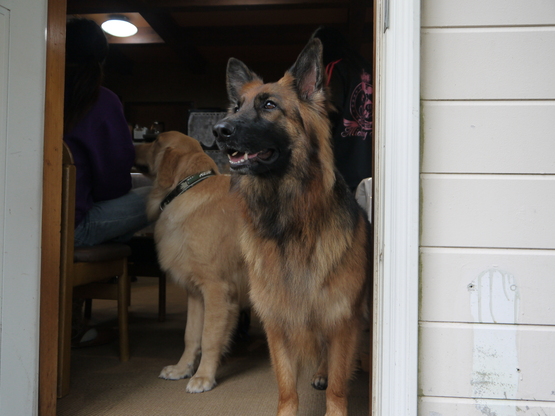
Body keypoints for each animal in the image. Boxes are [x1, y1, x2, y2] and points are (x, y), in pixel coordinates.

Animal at [135, 132, 248, 394]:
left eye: (155, 141)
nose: (132, 147)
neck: (187, 188)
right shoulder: (196, 293)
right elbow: (191, 335)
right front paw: (182, 369)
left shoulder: (217, 289)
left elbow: (209, 337)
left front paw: (203, 376)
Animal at [215, 37, 372, 414]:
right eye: (236, 107)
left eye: (269, 105)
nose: (219, 130)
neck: (290, 221)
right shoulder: (278, 319)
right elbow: (287, 388)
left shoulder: (342, 319)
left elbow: (338, 387)